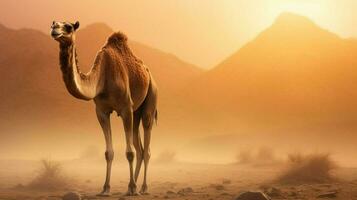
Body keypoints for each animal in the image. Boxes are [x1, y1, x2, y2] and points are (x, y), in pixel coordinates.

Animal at [50, 21, 157, 196]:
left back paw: (142, 187)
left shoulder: (125, 108)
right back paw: (132, 185)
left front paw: (133, 188)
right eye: (53, 23)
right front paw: (105, 189)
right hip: (136, 111)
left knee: (145, 148)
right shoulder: (101, 111)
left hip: (151, 97)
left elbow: (129, 153)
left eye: (68, 26)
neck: (102, 77)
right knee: (139, 148)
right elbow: (109, 153)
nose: (54, 30)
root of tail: (149, 74)